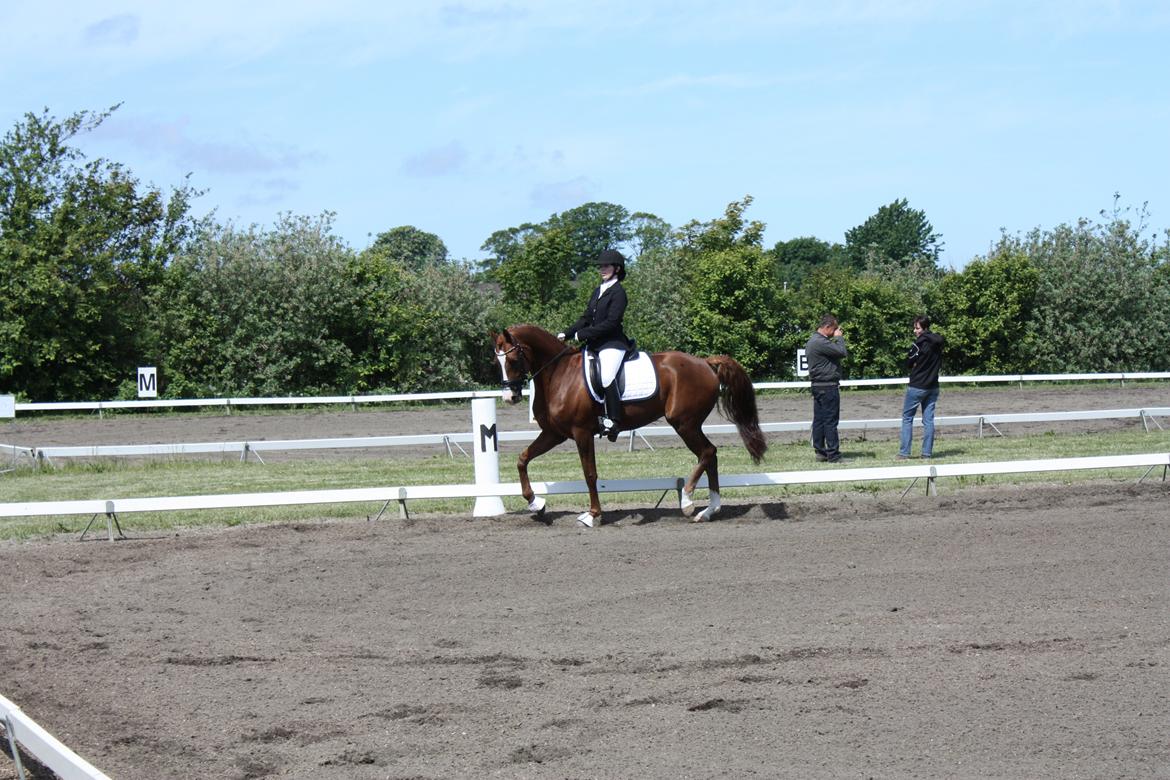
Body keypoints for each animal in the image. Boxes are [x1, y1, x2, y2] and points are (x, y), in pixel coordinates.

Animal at [493, 320, 767, 528]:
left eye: (514, 359)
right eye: (497, 362)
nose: (510, 397)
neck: (559, 374)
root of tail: (705, 363)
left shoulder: (581, 433)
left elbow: (589, 473)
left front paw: (592, 515)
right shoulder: (554, 433)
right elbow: (522, 459)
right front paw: (536, 504)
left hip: (684, 423)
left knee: (707, 452)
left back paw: (688, 502)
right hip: (689, 425)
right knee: (711, 456)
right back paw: (709, 511)